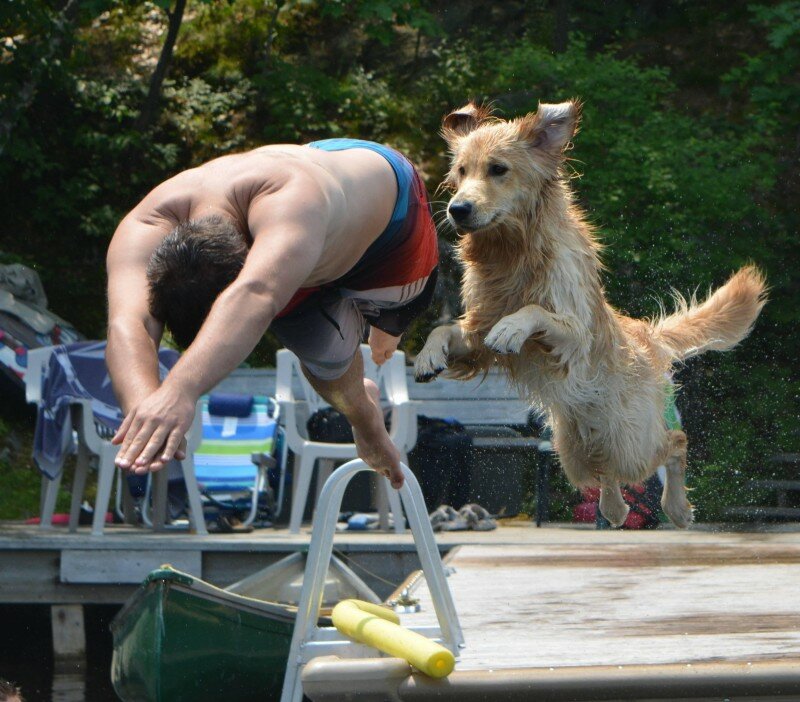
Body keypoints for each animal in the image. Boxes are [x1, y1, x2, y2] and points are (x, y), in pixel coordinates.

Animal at [416, 99, 764, 528]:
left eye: (498, 169)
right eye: (462, 171)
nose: (457, 209)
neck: (513, 252)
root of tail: (646, 334)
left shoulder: (574, 334)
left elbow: (534, 311)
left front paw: (511, 328)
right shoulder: (477, 334)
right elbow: (446, 329)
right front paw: (428, 356)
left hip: (633, 439)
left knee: (674, 444)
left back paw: (677, 508)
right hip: (572, 450)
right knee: (604, 471)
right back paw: (614, 508)